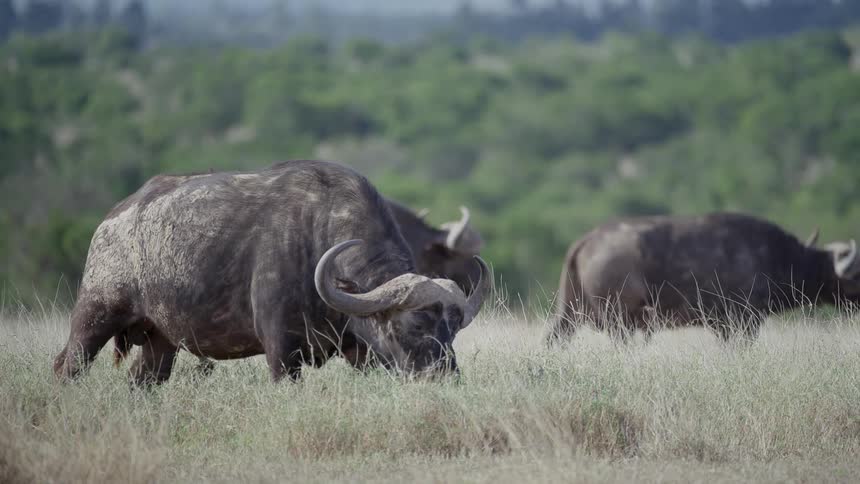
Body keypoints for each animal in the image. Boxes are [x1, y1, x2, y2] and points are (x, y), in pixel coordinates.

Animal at [53, 160, 490, 384]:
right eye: (413, 325)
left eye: (452, 329)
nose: (444, 376)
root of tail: (113, 218)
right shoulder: (282, 351)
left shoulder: (360, 352)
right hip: (95, 315)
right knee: (66, 366)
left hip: (160, 341)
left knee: (142, 381)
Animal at [545, 213, 859, 345]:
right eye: (855, 276)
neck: (779, 257)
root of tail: (587, 240)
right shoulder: (745, 320)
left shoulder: (723, 326)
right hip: (619, 319)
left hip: (569, 314)